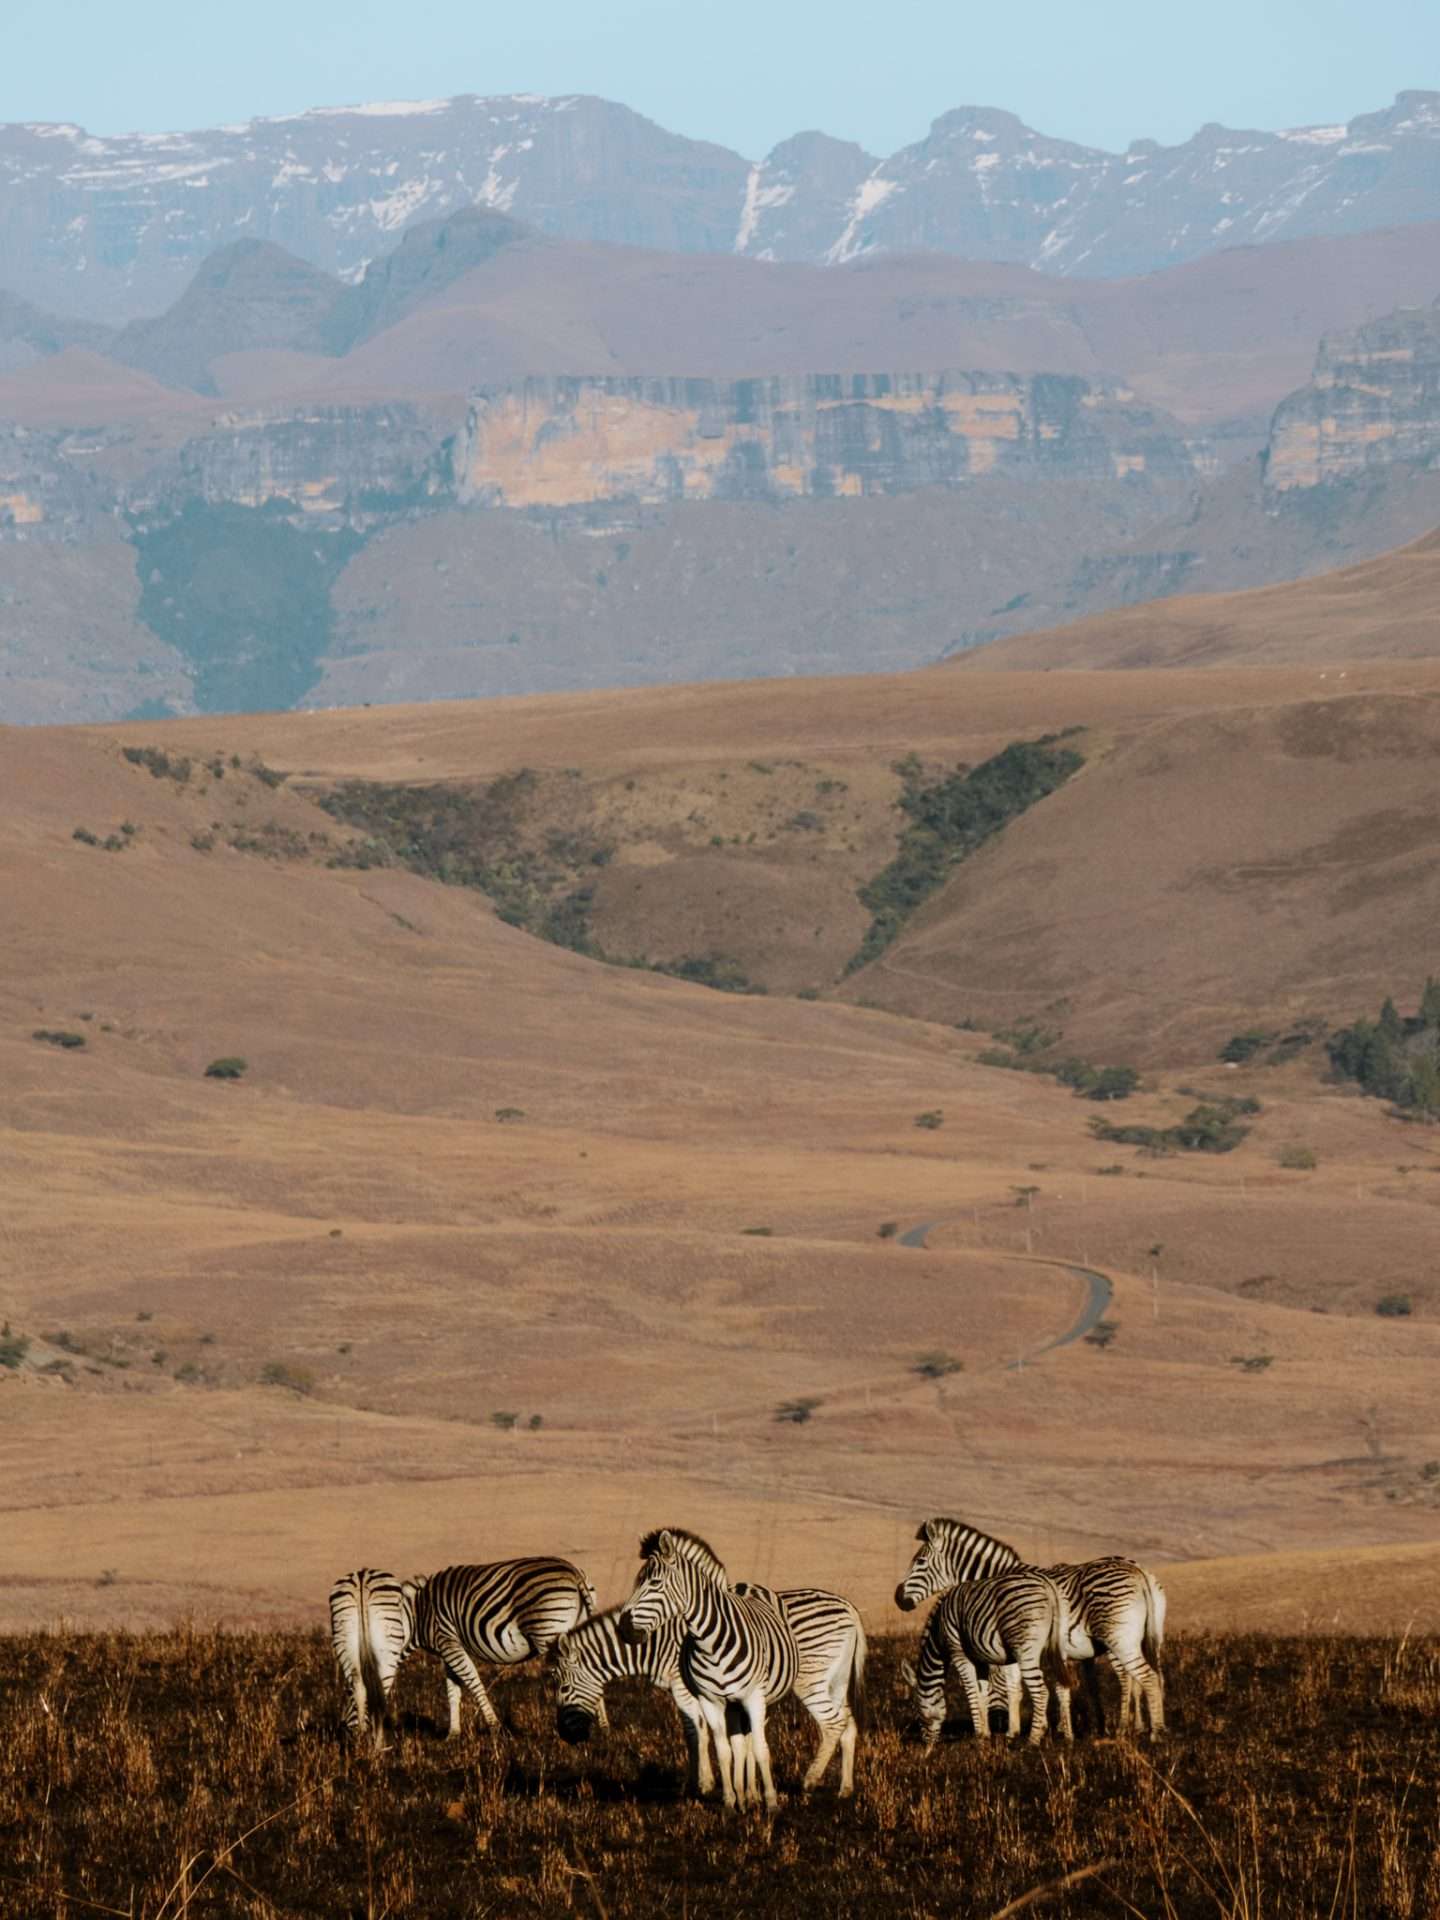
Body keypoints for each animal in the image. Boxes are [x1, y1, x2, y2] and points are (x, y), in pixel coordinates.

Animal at [329, 1568, 415, 1749]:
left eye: (346, 1695)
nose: (342, 1725)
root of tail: (362, 1578)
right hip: (386, 1651)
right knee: (379, 1693)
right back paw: (379, 1745)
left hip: (344, 1637)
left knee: (359, 1686)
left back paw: (362, 1741)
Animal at [403, 1557, 597, 1738]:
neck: (418, 1616)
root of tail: (573, 1571)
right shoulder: (447, 1650)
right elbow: (453, 1690)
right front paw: (453, 1734)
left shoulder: (448, 1642)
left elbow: (473, 1681)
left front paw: (495, 1727)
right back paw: (600, 1727)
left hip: (549, 1631)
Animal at [554, 1587, 866, 1798]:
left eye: (563, 1686)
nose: (565, 1736)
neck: (659, 1643)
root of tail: (848, 1606)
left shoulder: (685, 1689)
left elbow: (696, 1734)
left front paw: (701, 1784)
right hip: (836, 1680)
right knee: (848, 1725)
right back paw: (845, 1788)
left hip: (810, 1680)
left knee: (833, 1723)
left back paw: (810, 1780)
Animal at [617, 1528, 799, 1810]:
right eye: (636, 1583)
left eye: (654, 1583)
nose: (623, 1629)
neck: (711, 1642)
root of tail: (744, 1585)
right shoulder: (710, 1700)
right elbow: (724, 1750)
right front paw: (730, 1799)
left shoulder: (754, 1697)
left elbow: (760, 1748)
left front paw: (771, 1802)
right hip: (732, 1705)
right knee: (739, 1744)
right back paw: (744, 1795)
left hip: (762, 1700)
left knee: (751, 1743)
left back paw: (754, 1794)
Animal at [906, 1568, 1074, 1749]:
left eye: (918, 1714)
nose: (927, 1747)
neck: (938, 1633)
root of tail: (1047, 1584)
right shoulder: (980, 1660)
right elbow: (982, 1693)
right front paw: (985, 1734)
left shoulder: (958, 1652)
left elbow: (971, 1692)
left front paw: (978, 1735)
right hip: (1059, 1647)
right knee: (1061, 1687)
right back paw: (1064, 1737)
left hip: (1025, 1649)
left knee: (1041, 1692)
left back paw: (1033, 1741)